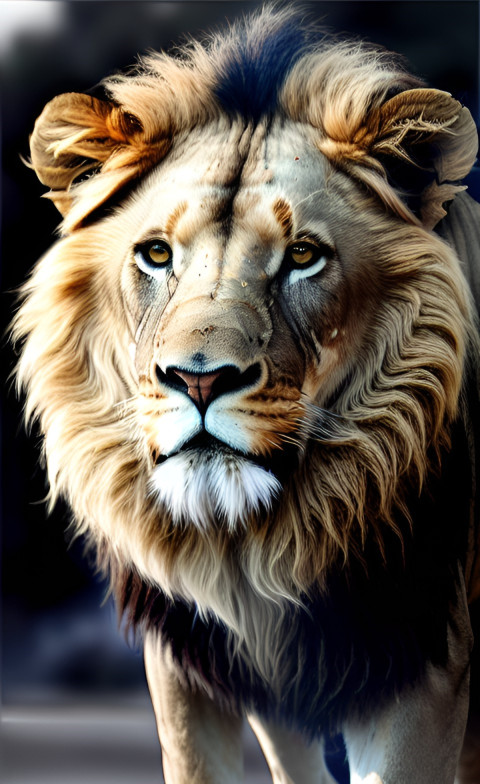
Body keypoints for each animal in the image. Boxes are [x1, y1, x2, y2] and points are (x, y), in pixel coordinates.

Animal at [13, 6, 480, 783]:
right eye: (157, 254)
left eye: (303, 257)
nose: (199, 378)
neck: (258, 548)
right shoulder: (199, 665)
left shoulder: (422, 663)